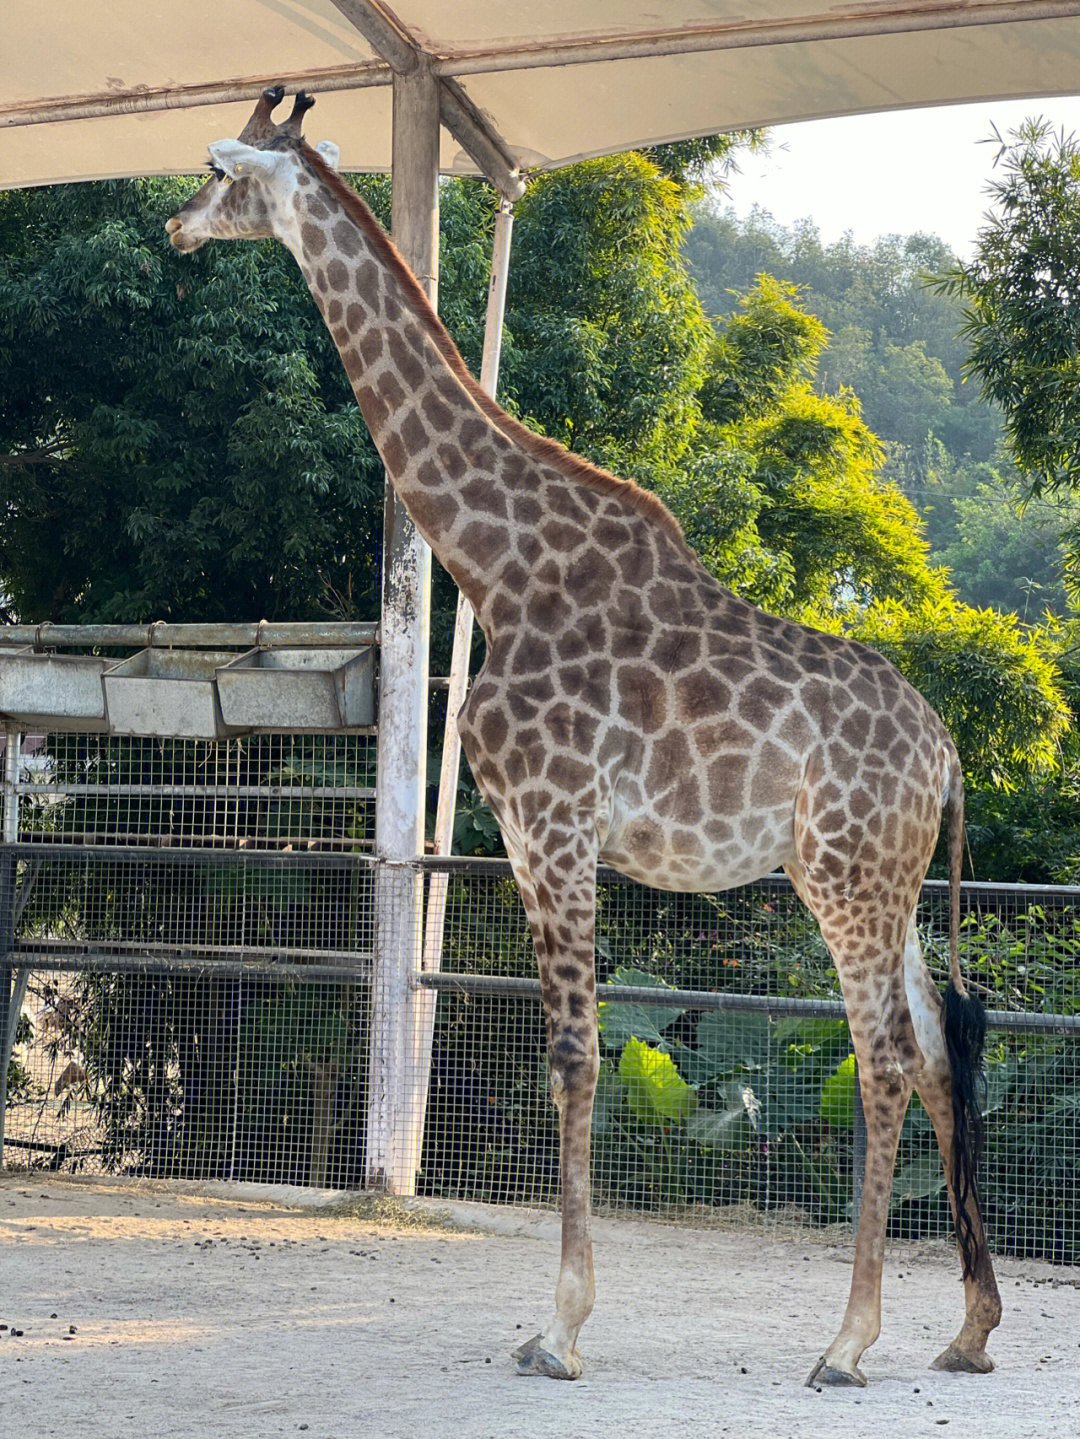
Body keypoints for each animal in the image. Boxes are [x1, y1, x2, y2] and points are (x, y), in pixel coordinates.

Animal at [164, 87, 1000, 1381]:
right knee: (940, 1049)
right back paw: (965, 1329)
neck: (496, 564)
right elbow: (561, 1048)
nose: (172, 227)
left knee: (885, 1059)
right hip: (890, 880)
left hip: (844, 875)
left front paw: (559, 1325)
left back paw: (849, 1339)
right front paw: (555, 1315)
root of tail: (947, 751)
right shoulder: (518, 831)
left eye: (218, 169)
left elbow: (573, 1053)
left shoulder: (556, 819)